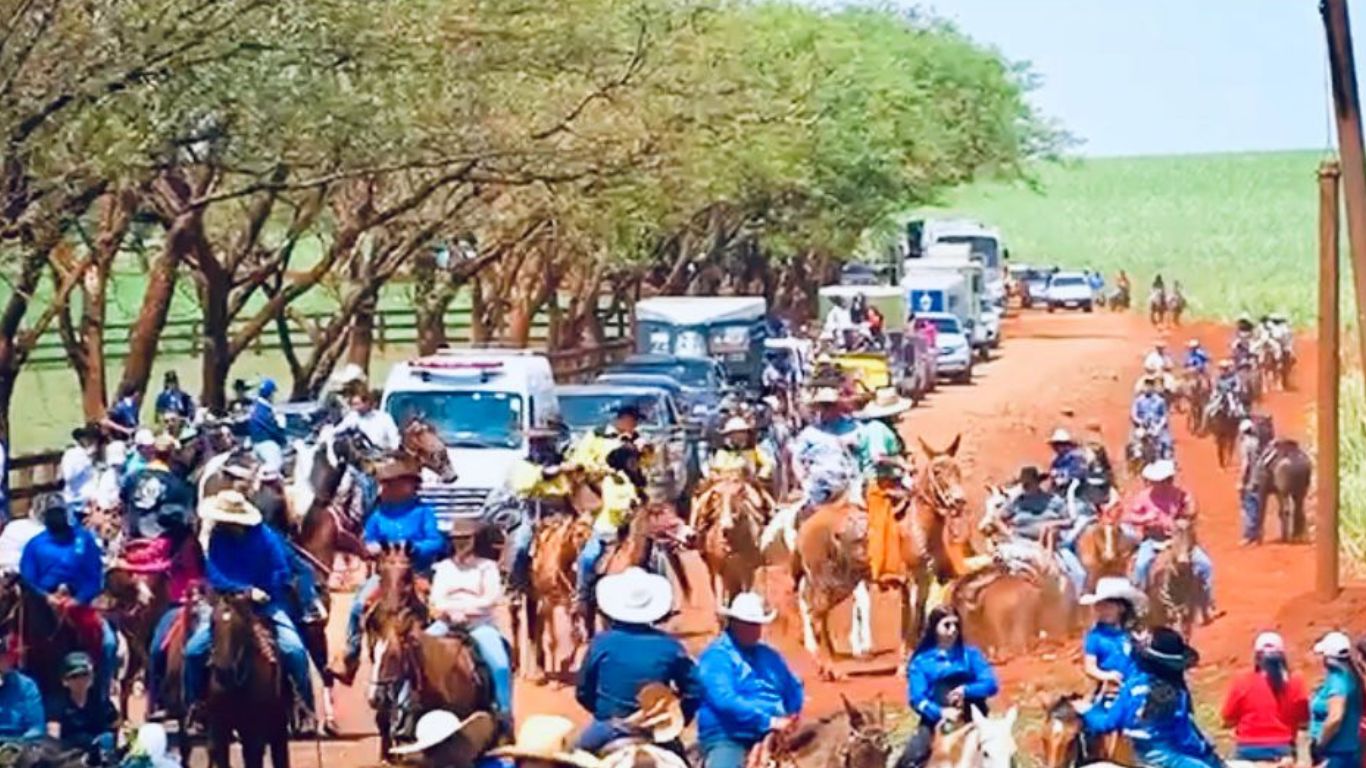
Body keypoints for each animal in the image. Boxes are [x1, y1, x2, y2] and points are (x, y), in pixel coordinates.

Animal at [204, 593, 290, 765]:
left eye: (240, 626)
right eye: (212, 622)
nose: (224, 672)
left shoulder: (255, 731)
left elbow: (253, 757)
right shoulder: (219, 727)